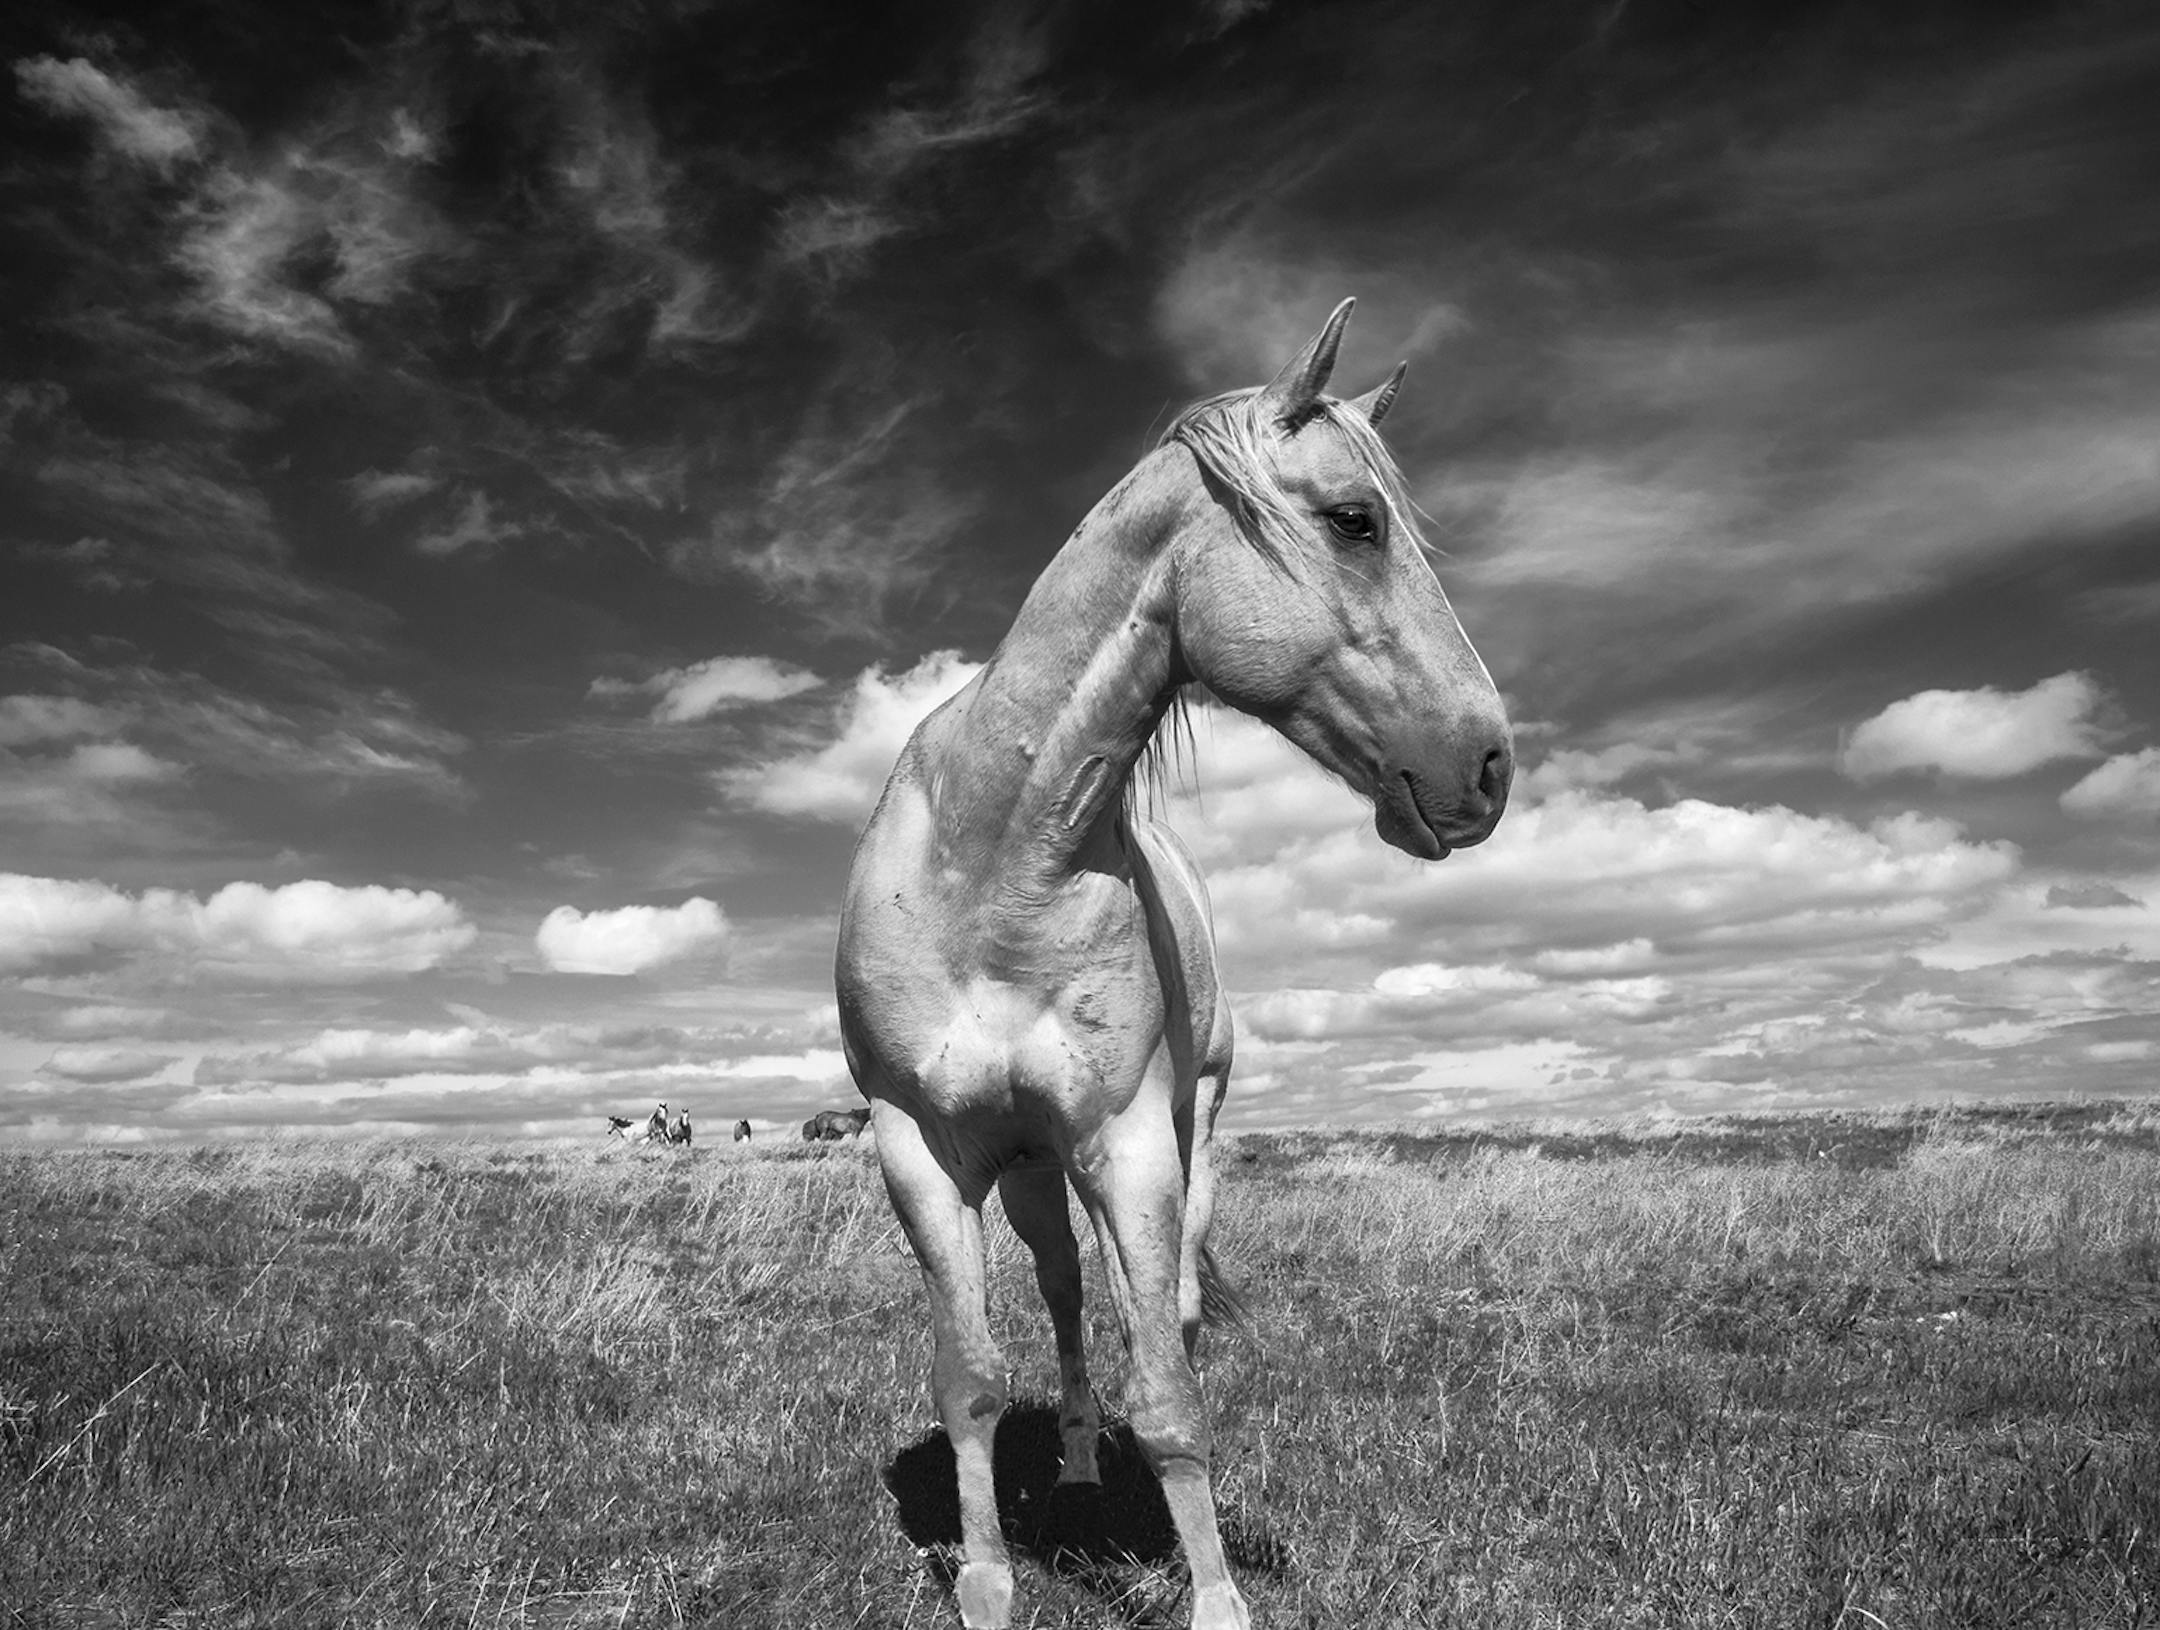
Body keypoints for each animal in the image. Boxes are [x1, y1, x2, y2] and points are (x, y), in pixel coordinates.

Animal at [835, 300, 1511, 1629]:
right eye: (1354, 519)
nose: (1491, 765)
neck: (993, 859)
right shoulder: (918, 1147)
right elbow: (970, 1378)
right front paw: (986, 1580)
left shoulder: (1131, 1137)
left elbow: (1173, 1397)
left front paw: (1216, 1597)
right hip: (1032, 1168)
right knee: (1063, 1294)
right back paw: (1079, 1459)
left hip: (1179, 1129)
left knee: (1172, 1312)